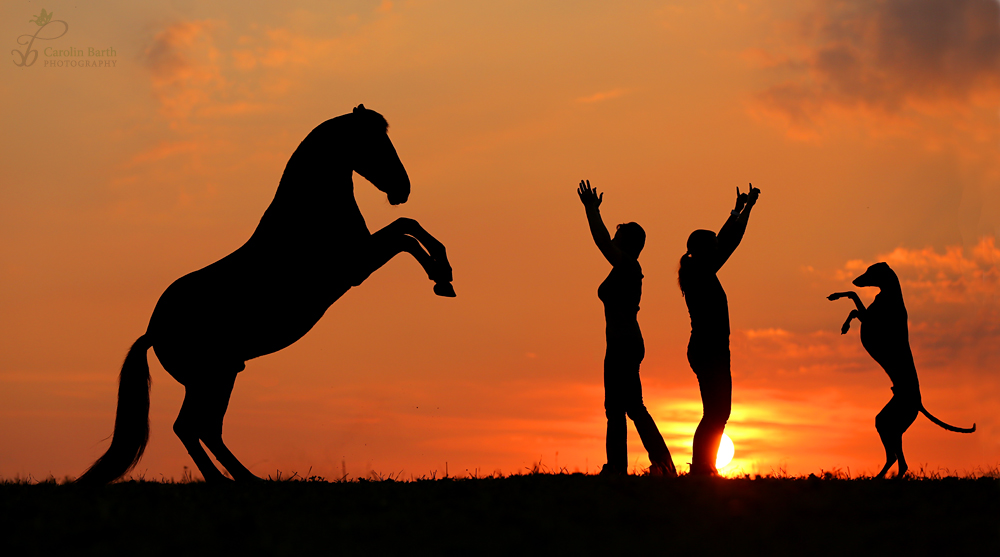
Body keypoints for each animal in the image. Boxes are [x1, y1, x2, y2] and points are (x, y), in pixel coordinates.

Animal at [828, 262, 976, 478]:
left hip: (890, 424)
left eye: (869, 271)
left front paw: (844, 323)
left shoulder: (870, 320)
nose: (855, 279)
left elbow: (854, 306)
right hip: (888, 423)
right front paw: (836, 299)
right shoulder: (867, 316)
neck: (891, 294)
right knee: (898, 460)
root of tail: (918, 403)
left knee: (897, 460)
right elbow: (854, 299)